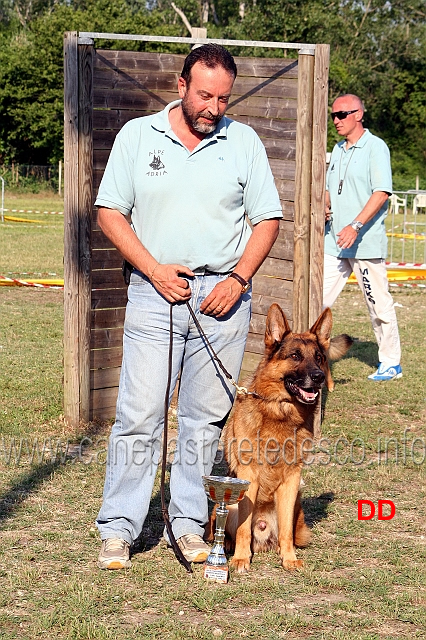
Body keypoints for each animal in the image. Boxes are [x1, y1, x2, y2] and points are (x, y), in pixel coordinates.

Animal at [216, 306, 352, 576]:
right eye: (295, 356)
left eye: (319, 357)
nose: (319, 377)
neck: (280, 411)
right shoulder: (249, 476)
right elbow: (244, 528)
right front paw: (240, 559)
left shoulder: (291, 480)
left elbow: (286, 530)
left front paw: (289, 559)